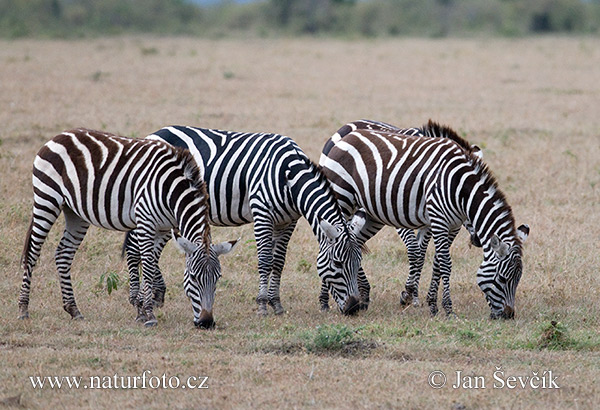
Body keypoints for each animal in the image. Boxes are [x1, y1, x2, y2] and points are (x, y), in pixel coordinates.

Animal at [17, 130, 237, 328]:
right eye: (192, 277)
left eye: (218, 278)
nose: (207, 323)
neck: (171, 191)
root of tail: (58, 136)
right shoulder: (146, 220)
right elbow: (147, 265)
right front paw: (148, 314)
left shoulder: (163, 228)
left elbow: (151, 262)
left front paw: (141, 310)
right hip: (47, 198)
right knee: (33, 252)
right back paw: (23, 309)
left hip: (75, 213)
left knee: (63, 254)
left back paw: (74, 310)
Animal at [122, 126, 360, 316]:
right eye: (338, 263)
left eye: (359, 264)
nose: (354, 308)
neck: (289, 177)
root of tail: (154, 134)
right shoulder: (262, 213)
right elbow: (265, 260)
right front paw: (263, 305)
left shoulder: (288, 221)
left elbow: (278, 262)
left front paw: (276, 303)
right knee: (135, 248)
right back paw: (136, 298)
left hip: (168, 211)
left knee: (152, 251)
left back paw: (157, 294)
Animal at [318, 120, 528, 318]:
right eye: (502, 279)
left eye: (518, 279)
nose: (508, 315)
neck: (458, 186)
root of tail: (349, 131)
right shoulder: (424, 215)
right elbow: (439, 261)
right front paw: (445, 308)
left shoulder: (448, 224)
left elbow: (434, 260)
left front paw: (428, 302)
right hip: (342, 197)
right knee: (328, 242)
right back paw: (325, 302)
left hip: (372, 213)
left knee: (355, 241)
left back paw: (362, 296)